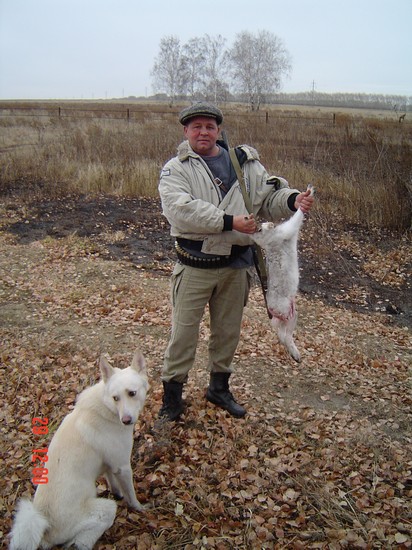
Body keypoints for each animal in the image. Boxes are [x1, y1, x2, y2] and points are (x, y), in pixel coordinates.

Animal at [9, 352, 150, 548]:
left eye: (132, 393)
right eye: (115, 398)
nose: (126, 420)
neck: (108, 410)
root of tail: (45, 532)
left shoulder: (109, 465)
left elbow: (113, 483)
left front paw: (118, 493)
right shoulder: (122, 467)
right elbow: (131, 494)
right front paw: (139, 507)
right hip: (105, 510)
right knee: (81, 541)